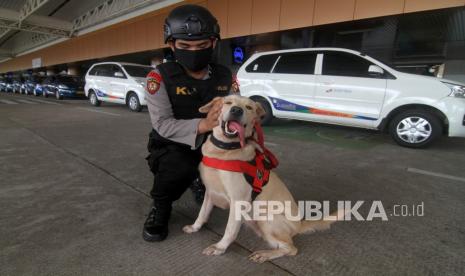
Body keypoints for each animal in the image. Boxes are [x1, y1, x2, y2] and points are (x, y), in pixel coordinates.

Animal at [183, 96, 342, 264]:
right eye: (228, 102)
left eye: (249, 107)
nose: (236, 110)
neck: (224, 150)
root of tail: (299, 224)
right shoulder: (210, 192)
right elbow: (202, 214)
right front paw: (195, 227)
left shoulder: (238, 201)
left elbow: (230, 230)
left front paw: (220, 247)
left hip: (266, 218)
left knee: (291, 249)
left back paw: (265, 254)